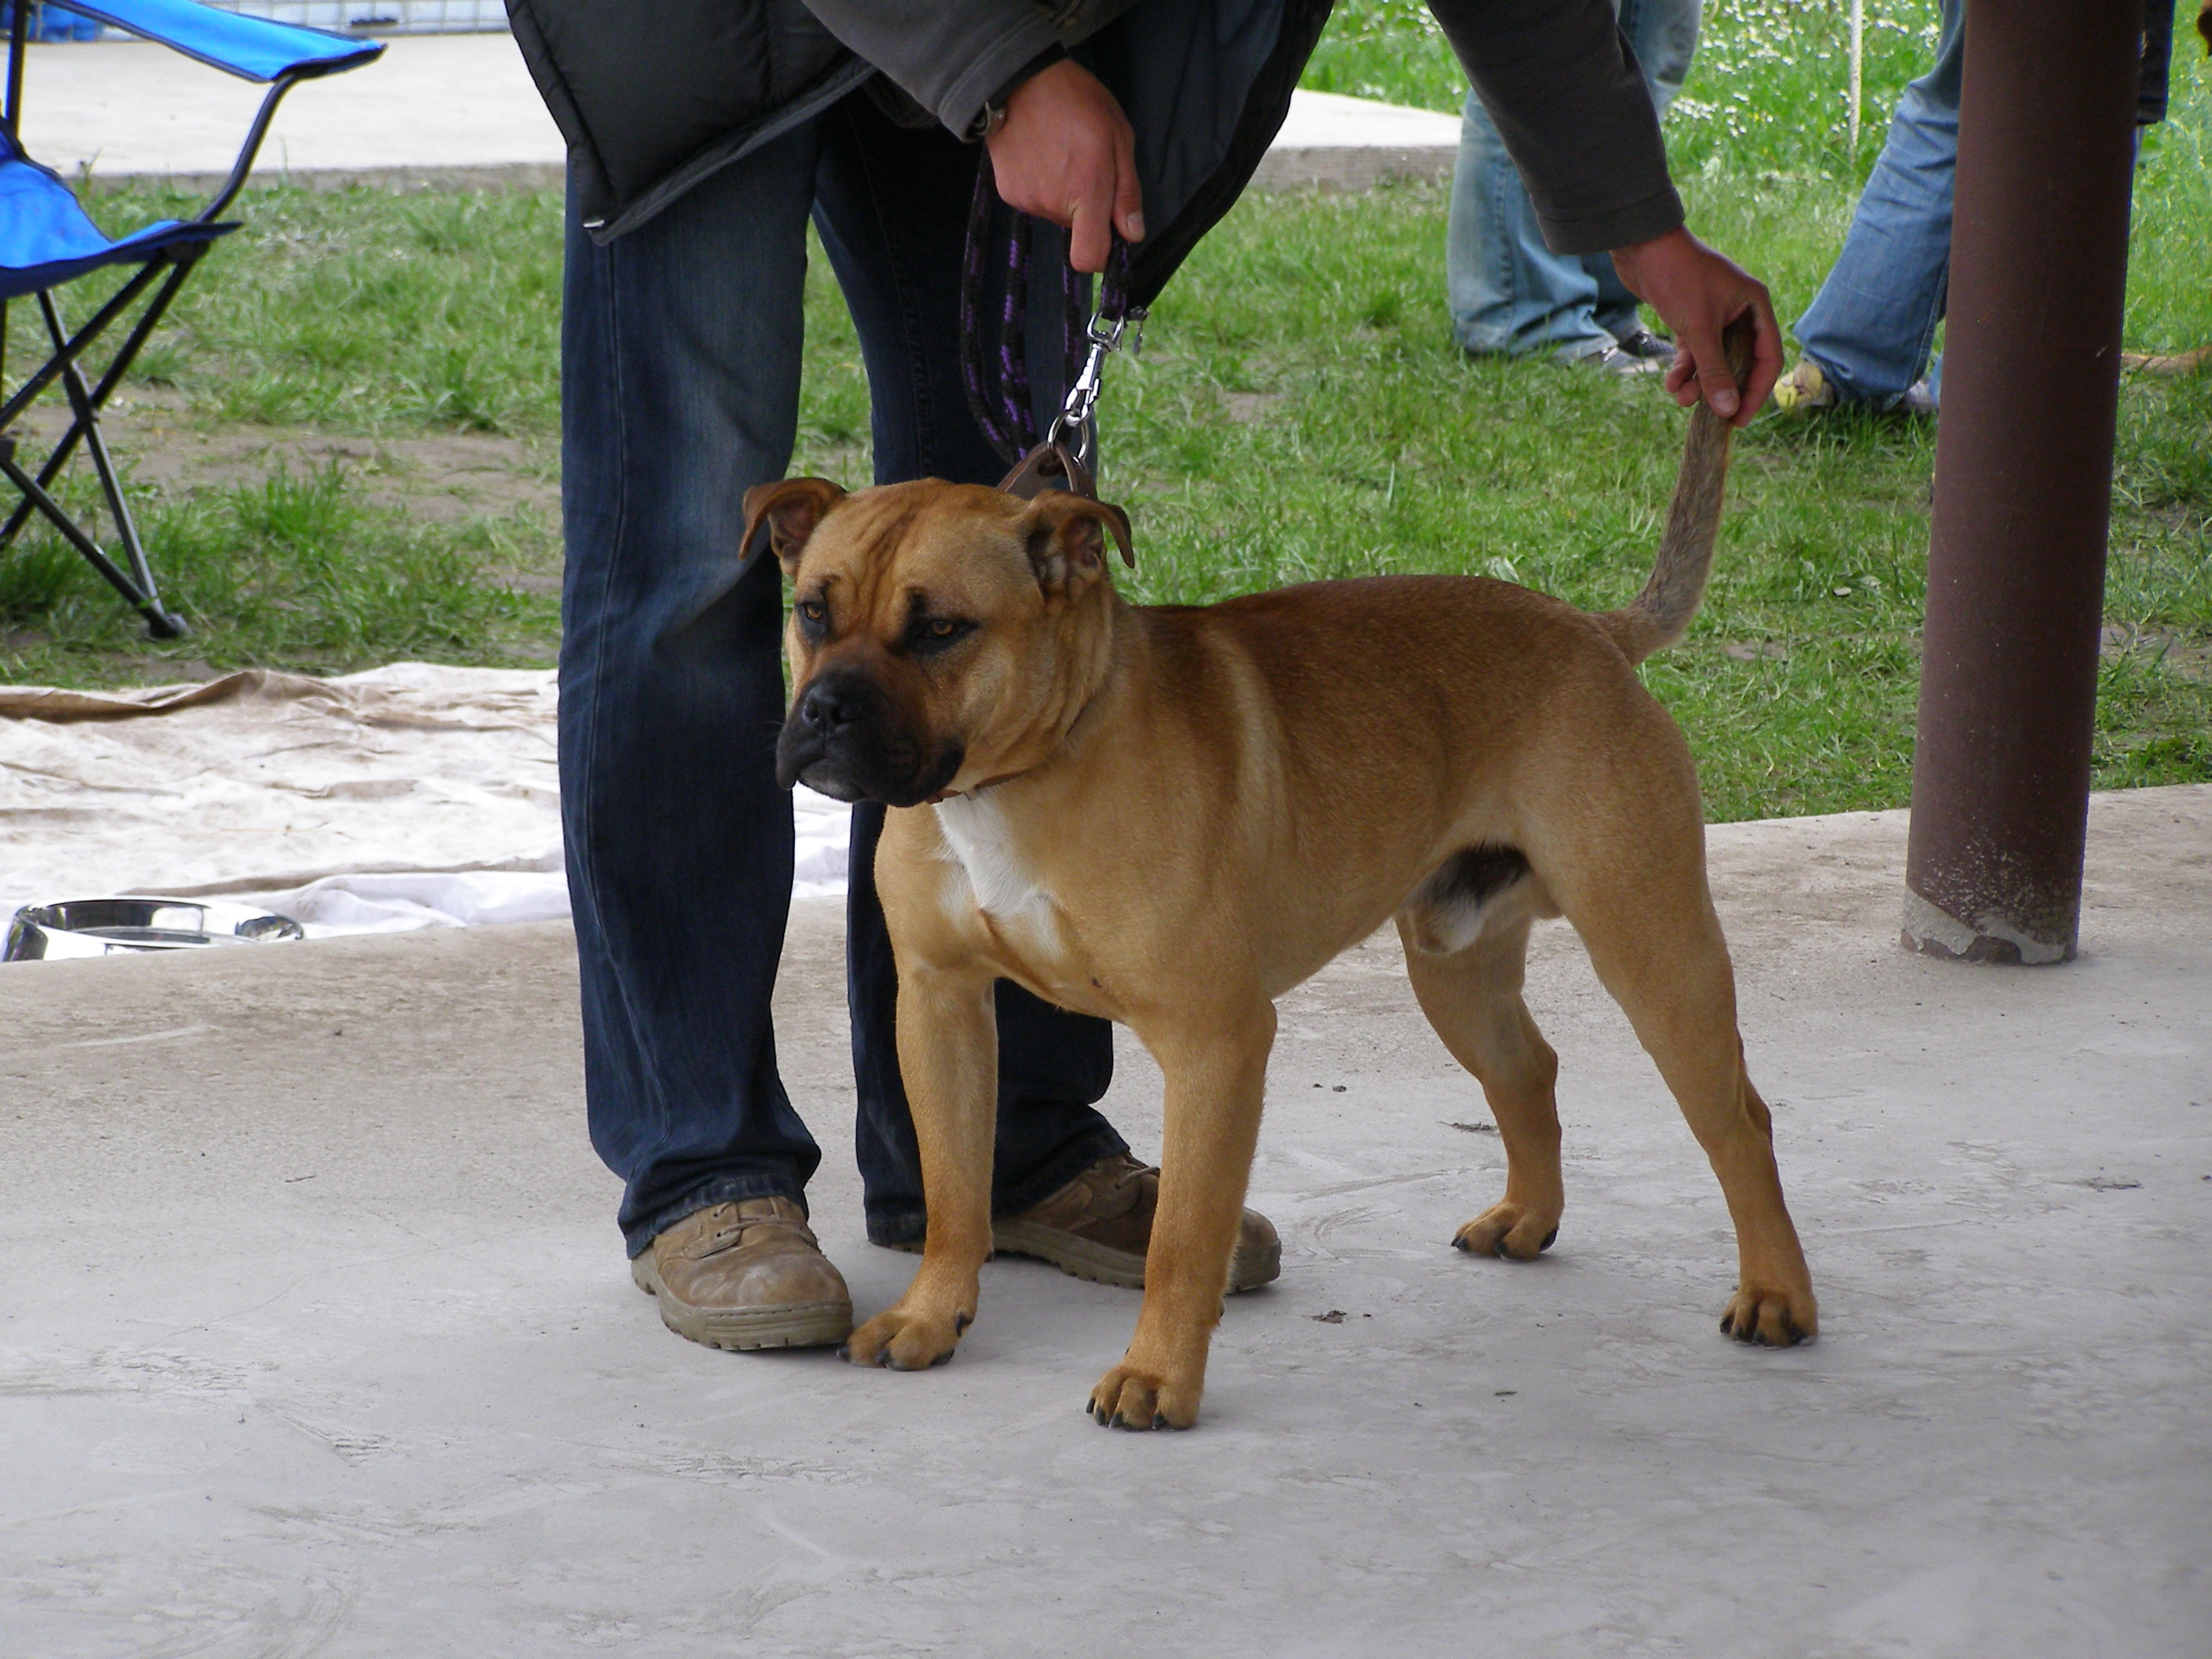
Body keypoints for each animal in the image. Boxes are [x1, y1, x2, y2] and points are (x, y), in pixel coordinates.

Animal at [743, 324, 1814, 1433]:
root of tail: (1595, 632)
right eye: (811, 613)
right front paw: (930, 1314)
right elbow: (956, 1191)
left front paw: (1157, 1378)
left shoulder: (1213, 1043)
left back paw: (1775, 1294)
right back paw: (1526, 1218)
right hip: (1456, 967)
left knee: (1739, 1122)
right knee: (1527, 1071)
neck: (1020, 775)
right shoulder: (942, 1004)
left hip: (1654, 954)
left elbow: (1181, 1241)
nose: (824, 709)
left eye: (941, 630)